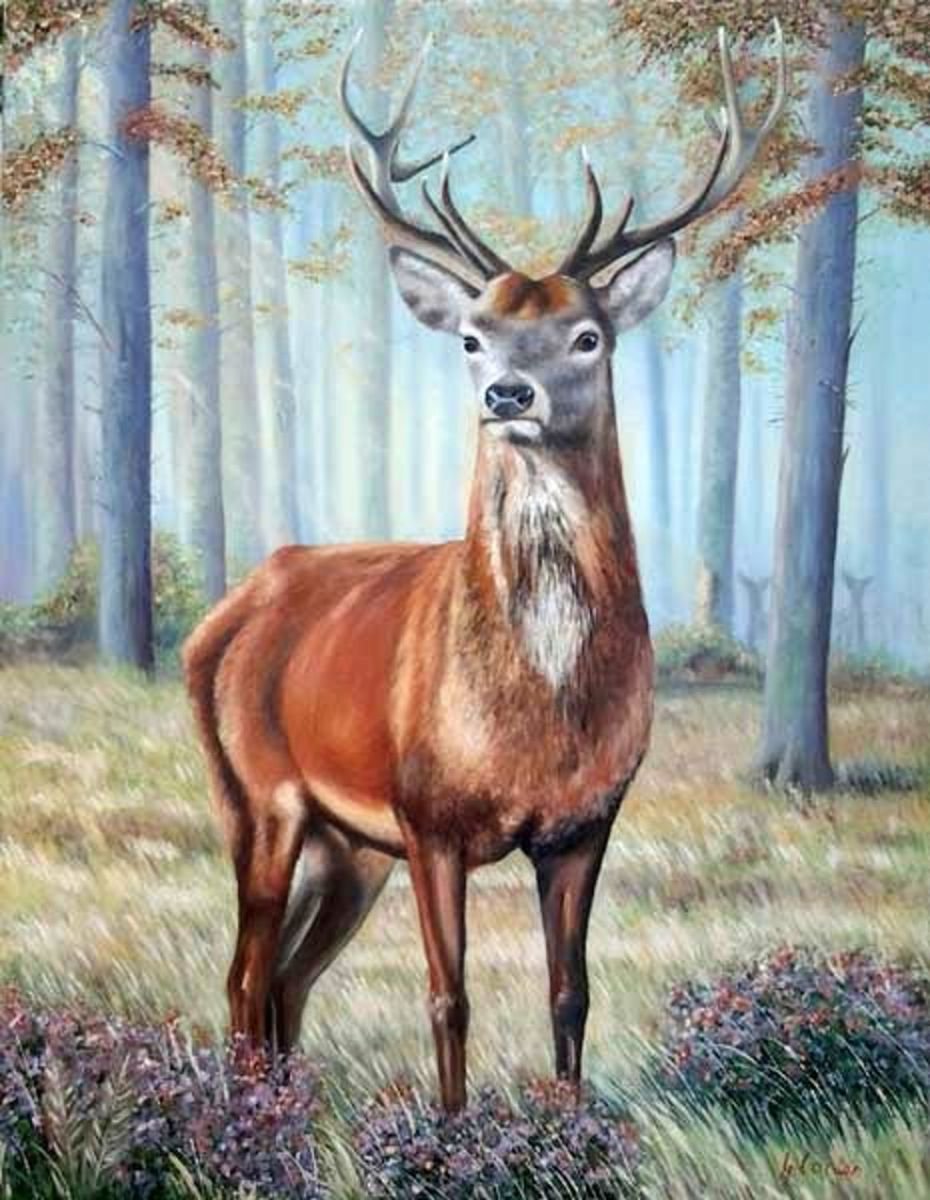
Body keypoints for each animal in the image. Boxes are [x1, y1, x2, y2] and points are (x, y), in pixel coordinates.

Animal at [183, 23, 785, 1112]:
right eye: (474, 335)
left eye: (587, 334)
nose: (508, 392)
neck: (536, 719)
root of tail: (224, 615)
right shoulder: (429, 816)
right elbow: (448, 996)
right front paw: (456, 1127)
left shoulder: (587, 821)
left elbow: (570, 994)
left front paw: (569, 1121)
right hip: (255, 792)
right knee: (244, 972)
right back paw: (252, 1116)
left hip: (349, 847)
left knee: (286, 977)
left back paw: (285, 1113)